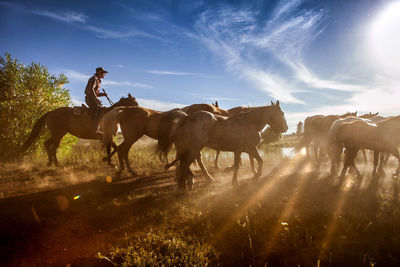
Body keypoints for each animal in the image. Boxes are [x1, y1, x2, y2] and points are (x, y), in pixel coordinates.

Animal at [159, 101, 288, 191]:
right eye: (282, 113)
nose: (285, 128)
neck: (249, 123)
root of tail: (187, 117)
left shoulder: (250, 148)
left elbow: (260, 160)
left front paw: (256, 175)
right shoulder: (240, 150)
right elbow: (237, 166)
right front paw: (235, 182)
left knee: (186, 164)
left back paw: (189, 182)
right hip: (193, 148)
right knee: (185, 164)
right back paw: (185, 184)